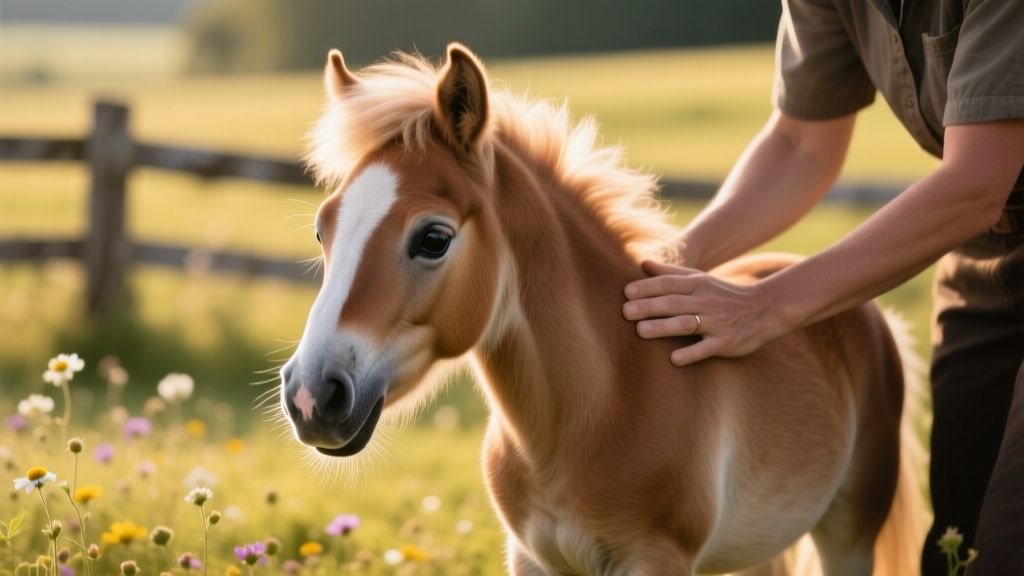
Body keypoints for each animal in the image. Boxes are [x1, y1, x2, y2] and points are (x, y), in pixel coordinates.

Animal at [278, 43, 925, 575]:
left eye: (433, 238)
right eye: (321, 231)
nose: (312, 395)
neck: (595, 407)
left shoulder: (656, 559)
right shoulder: (532, 558)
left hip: (849, 531)